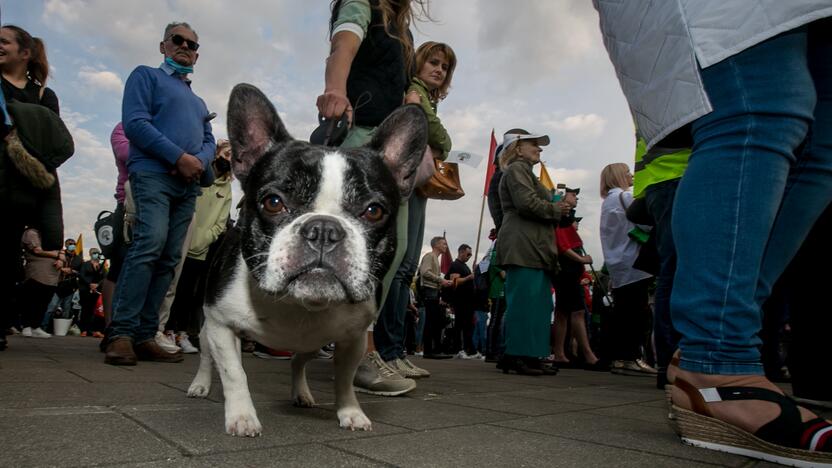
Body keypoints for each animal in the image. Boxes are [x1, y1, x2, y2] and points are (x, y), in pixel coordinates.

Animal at [188, 83, 428, 436]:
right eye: (273, 202)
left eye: (374, 211)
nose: (324, 229)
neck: (297, 305)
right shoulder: (221, 324)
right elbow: (234, 373)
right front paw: (242, 416)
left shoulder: (353, 339)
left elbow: (344, 379)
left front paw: (350, 411)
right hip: (207, 329)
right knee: (207, 357)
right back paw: (201, 385)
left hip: (315, 342)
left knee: (298, 360)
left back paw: (301, 393)